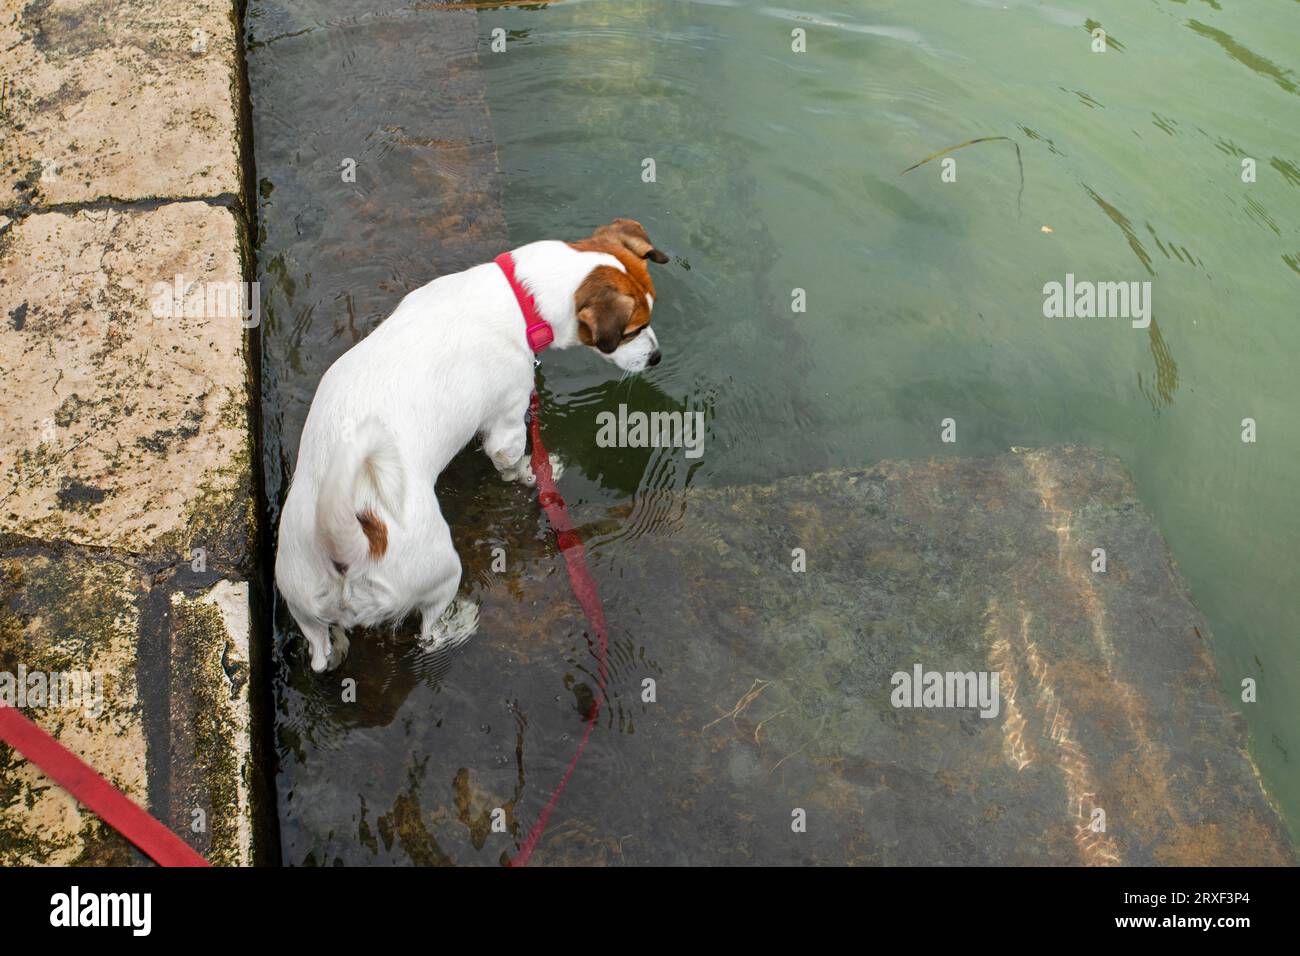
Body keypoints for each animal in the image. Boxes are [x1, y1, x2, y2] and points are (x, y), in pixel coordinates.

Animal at [270, 222, 665, 671]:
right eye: (632, 331)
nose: (656, 357)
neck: (519, 297)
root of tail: (349, 546)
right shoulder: (507, 422)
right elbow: (512, 461)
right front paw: (535, 473)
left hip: (303, 603)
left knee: (320, 654)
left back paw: (335, 647)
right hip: (440, 568)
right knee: (428, 633)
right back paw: (459, 624)